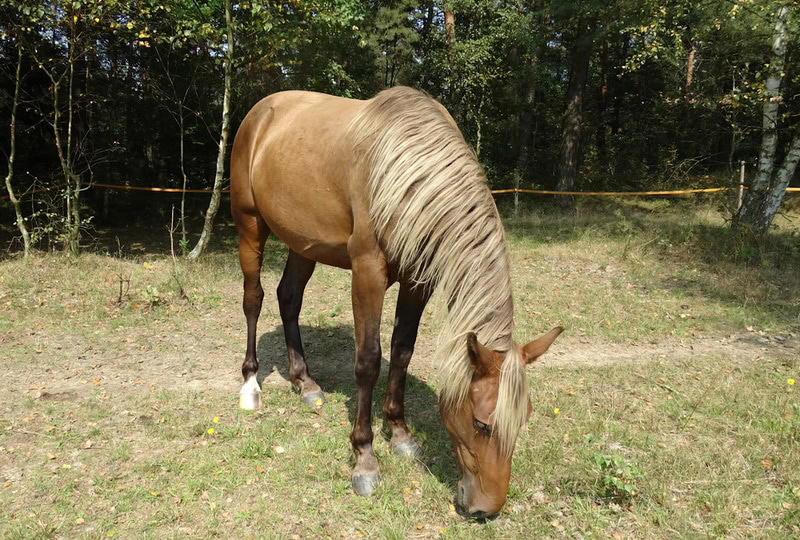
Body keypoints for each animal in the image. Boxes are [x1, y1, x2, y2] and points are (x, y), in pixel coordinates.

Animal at [230, 86, 562, 519]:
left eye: (524, 419)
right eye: (481, 423)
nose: (485, 510)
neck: (408, 170)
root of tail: (262, 111)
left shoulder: (418, 280)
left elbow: (402, 351)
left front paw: (400, 434)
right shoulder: (367, 273)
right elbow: (368, 360)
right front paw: (365, 459)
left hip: (303, 242)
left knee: (289, 298)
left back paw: (306, 383)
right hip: (250, 226)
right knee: (253, 300)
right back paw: (250, 386)